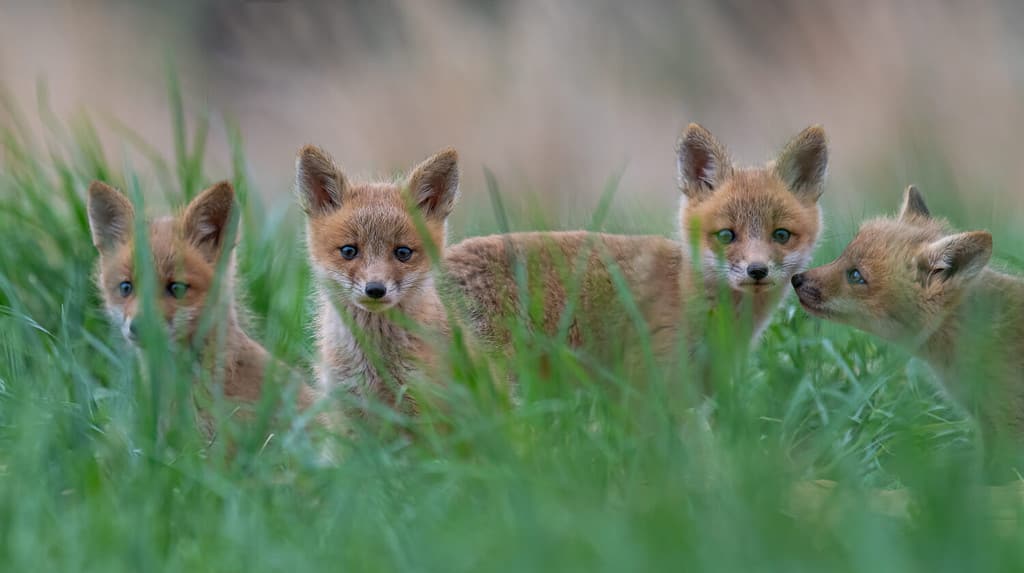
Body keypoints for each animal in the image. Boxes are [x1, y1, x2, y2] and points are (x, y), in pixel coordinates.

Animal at [297, 145, 459, 418]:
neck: (373, 362)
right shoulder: (345, 408)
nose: (375, 289)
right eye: (349, 251)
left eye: (403, 252)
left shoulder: (423, 402)